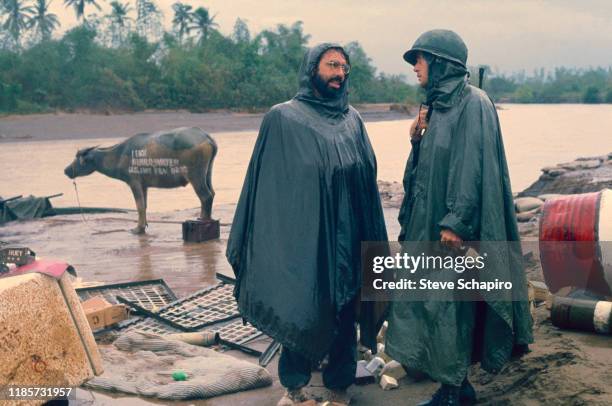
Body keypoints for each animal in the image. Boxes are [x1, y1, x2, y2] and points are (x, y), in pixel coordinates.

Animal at [64, 127, 216, 235]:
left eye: (77, 159)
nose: (66, 170)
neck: (118, 155)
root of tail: (206, 136)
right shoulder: (144, 185)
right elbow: (145, 205)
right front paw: (144, 226)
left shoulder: (134, 183)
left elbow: (139, 206)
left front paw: (138, 229)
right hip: (207, 174)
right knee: (212, 193)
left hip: (196, 176)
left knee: (205, 196)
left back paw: (204, 220)